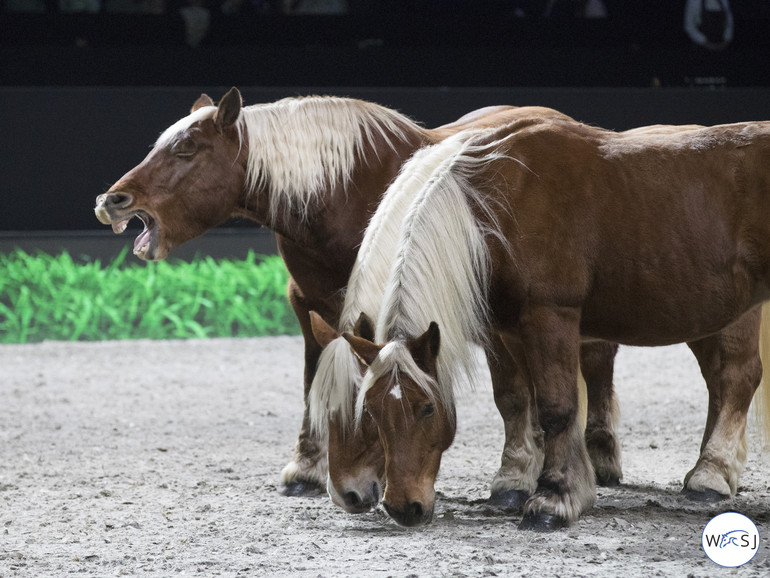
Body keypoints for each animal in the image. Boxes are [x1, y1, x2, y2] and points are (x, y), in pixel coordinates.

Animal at [96, 88, 620, 498]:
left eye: (186, 148)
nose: (111, 200)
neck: (345, 192)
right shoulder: (313, 308)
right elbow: (316, 385)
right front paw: (309, 468)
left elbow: (511, 395)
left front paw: (513, 477)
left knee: (593, 365)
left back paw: (597, 458)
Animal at [342, 116, 768, 528]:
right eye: (372, 411)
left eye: (427, 408)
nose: (402, 507)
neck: (500, 202)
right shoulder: (512, 331)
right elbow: (524, 404)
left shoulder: (550, 317)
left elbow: (557, 408)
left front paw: (554, 498)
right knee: (721, 383)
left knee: (737, 378)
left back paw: (711, 475)